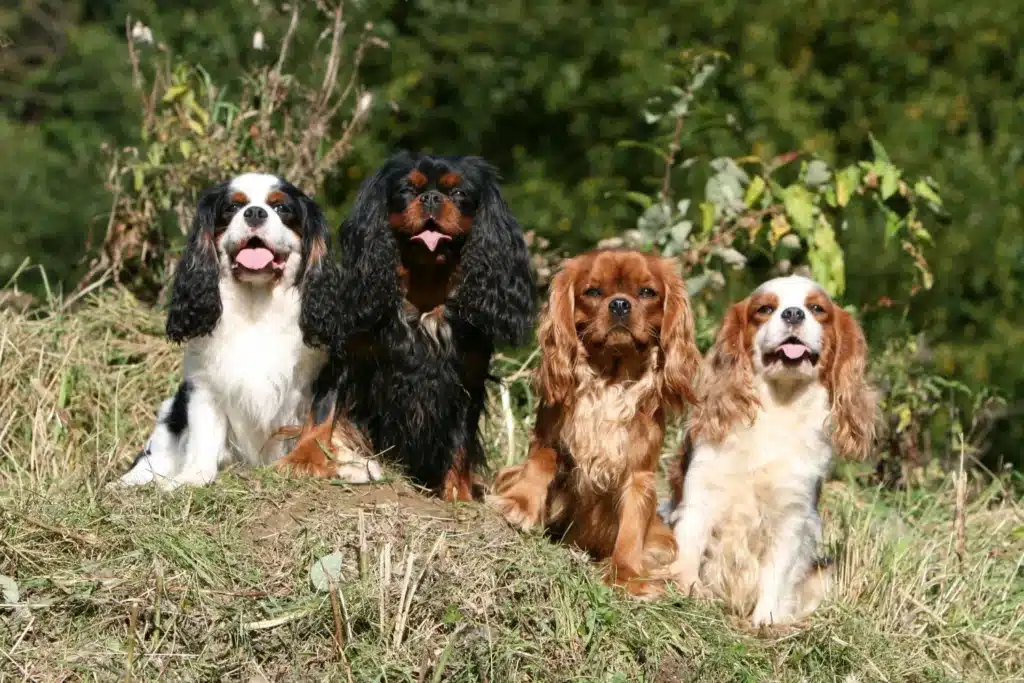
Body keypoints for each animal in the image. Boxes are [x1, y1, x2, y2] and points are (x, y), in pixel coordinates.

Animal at [115, 174, 354, 489]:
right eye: (232, 207)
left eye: (281, 208)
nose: (254, 213)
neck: (256, 302)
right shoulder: (203, 384)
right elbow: (203, 434)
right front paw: (193, 478)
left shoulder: (326, 370)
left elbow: (319, 418)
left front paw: (306, 461)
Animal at [276, 152, 540, 499]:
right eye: (406, 190)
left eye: (459, 193)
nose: (431, 198)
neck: (426, 285)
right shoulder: (346, 357)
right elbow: (323, 410)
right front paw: (304, 458)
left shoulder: (467, 378)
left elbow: (461, 439)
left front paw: (458, 493)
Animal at [485, 248, 696, 593]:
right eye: (593, 292)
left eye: (647, 292)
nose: (620, 304)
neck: (609, 380)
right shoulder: (546, 438)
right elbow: (542, 459)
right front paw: (520, 503)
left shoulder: (639, 475)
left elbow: (632, 525)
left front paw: (625, 575)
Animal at [663, 276, 880, 626]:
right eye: (765, 309)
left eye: (817, 309)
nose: (793, 314)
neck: (780, 405)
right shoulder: (699, 498)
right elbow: (687, 553)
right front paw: (682, 594)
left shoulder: (792, 516)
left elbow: (775, 574)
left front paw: (765, 621)